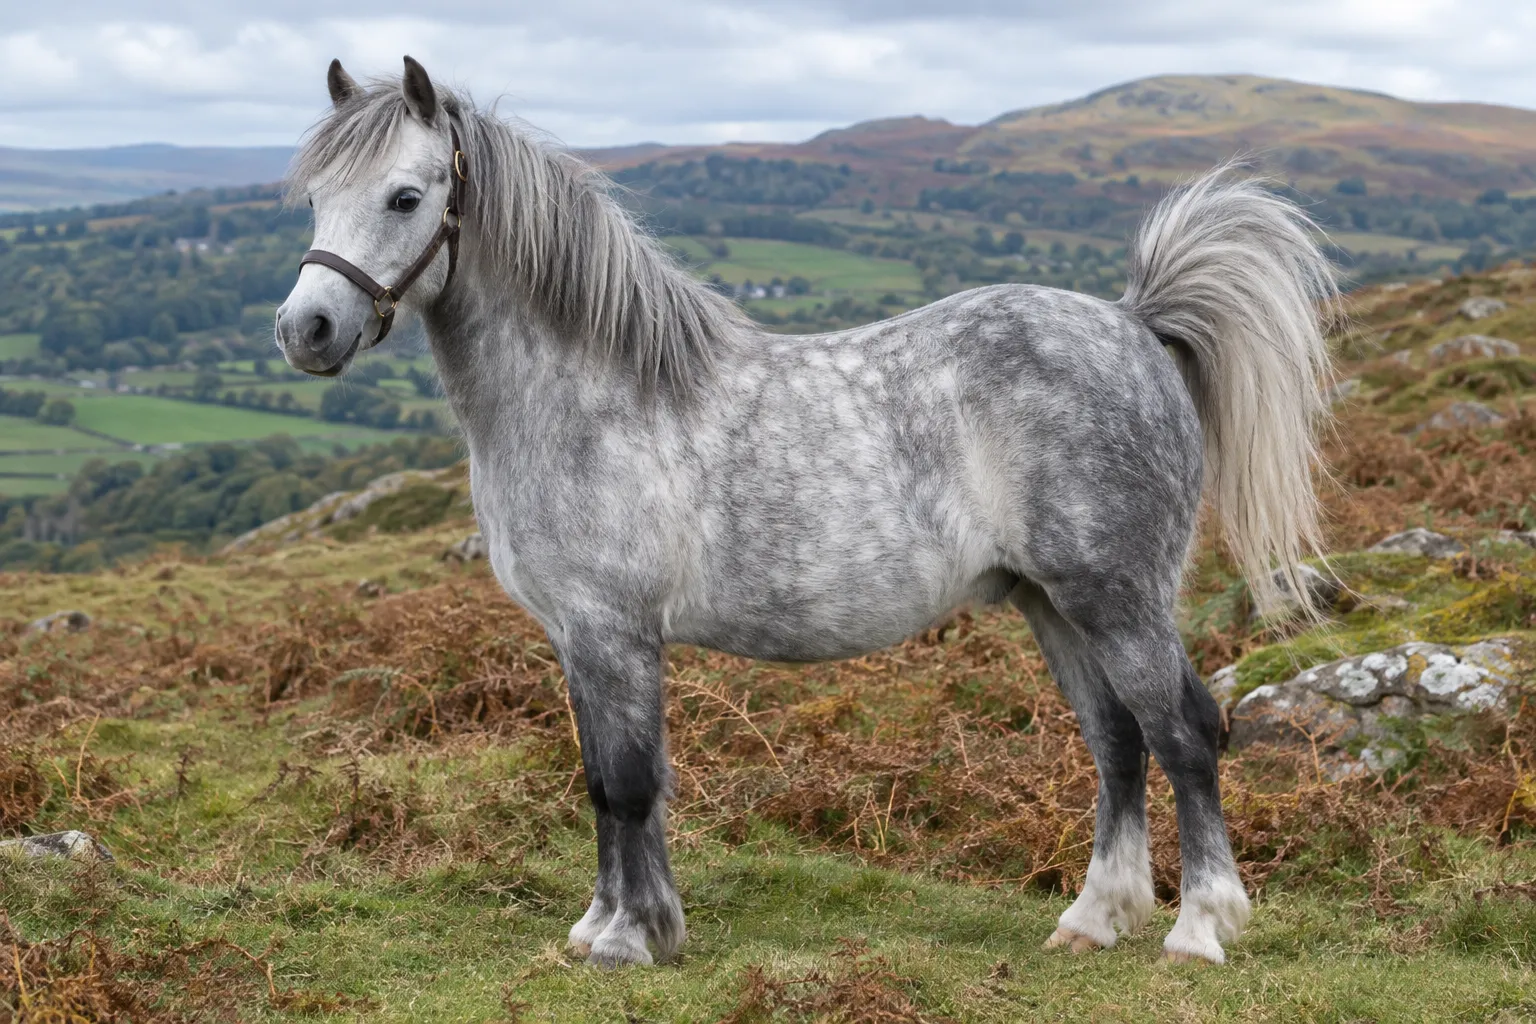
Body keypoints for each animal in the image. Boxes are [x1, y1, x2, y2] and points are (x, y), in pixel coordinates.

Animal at [277, 56, 1335, 968]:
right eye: (318, 196)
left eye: (405, 197)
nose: (305, 331)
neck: (590, 397)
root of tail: (1134, 323)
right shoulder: (580, 639)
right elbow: (607, 782)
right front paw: (611, 924)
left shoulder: (614, 633)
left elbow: (629, 781)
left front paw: (629, 939)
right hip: (1054, 603)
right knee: (1116, 743)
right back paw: (1092, 918)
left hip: (1119, 599)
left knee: (1185, 732)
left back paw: (1199, 928)